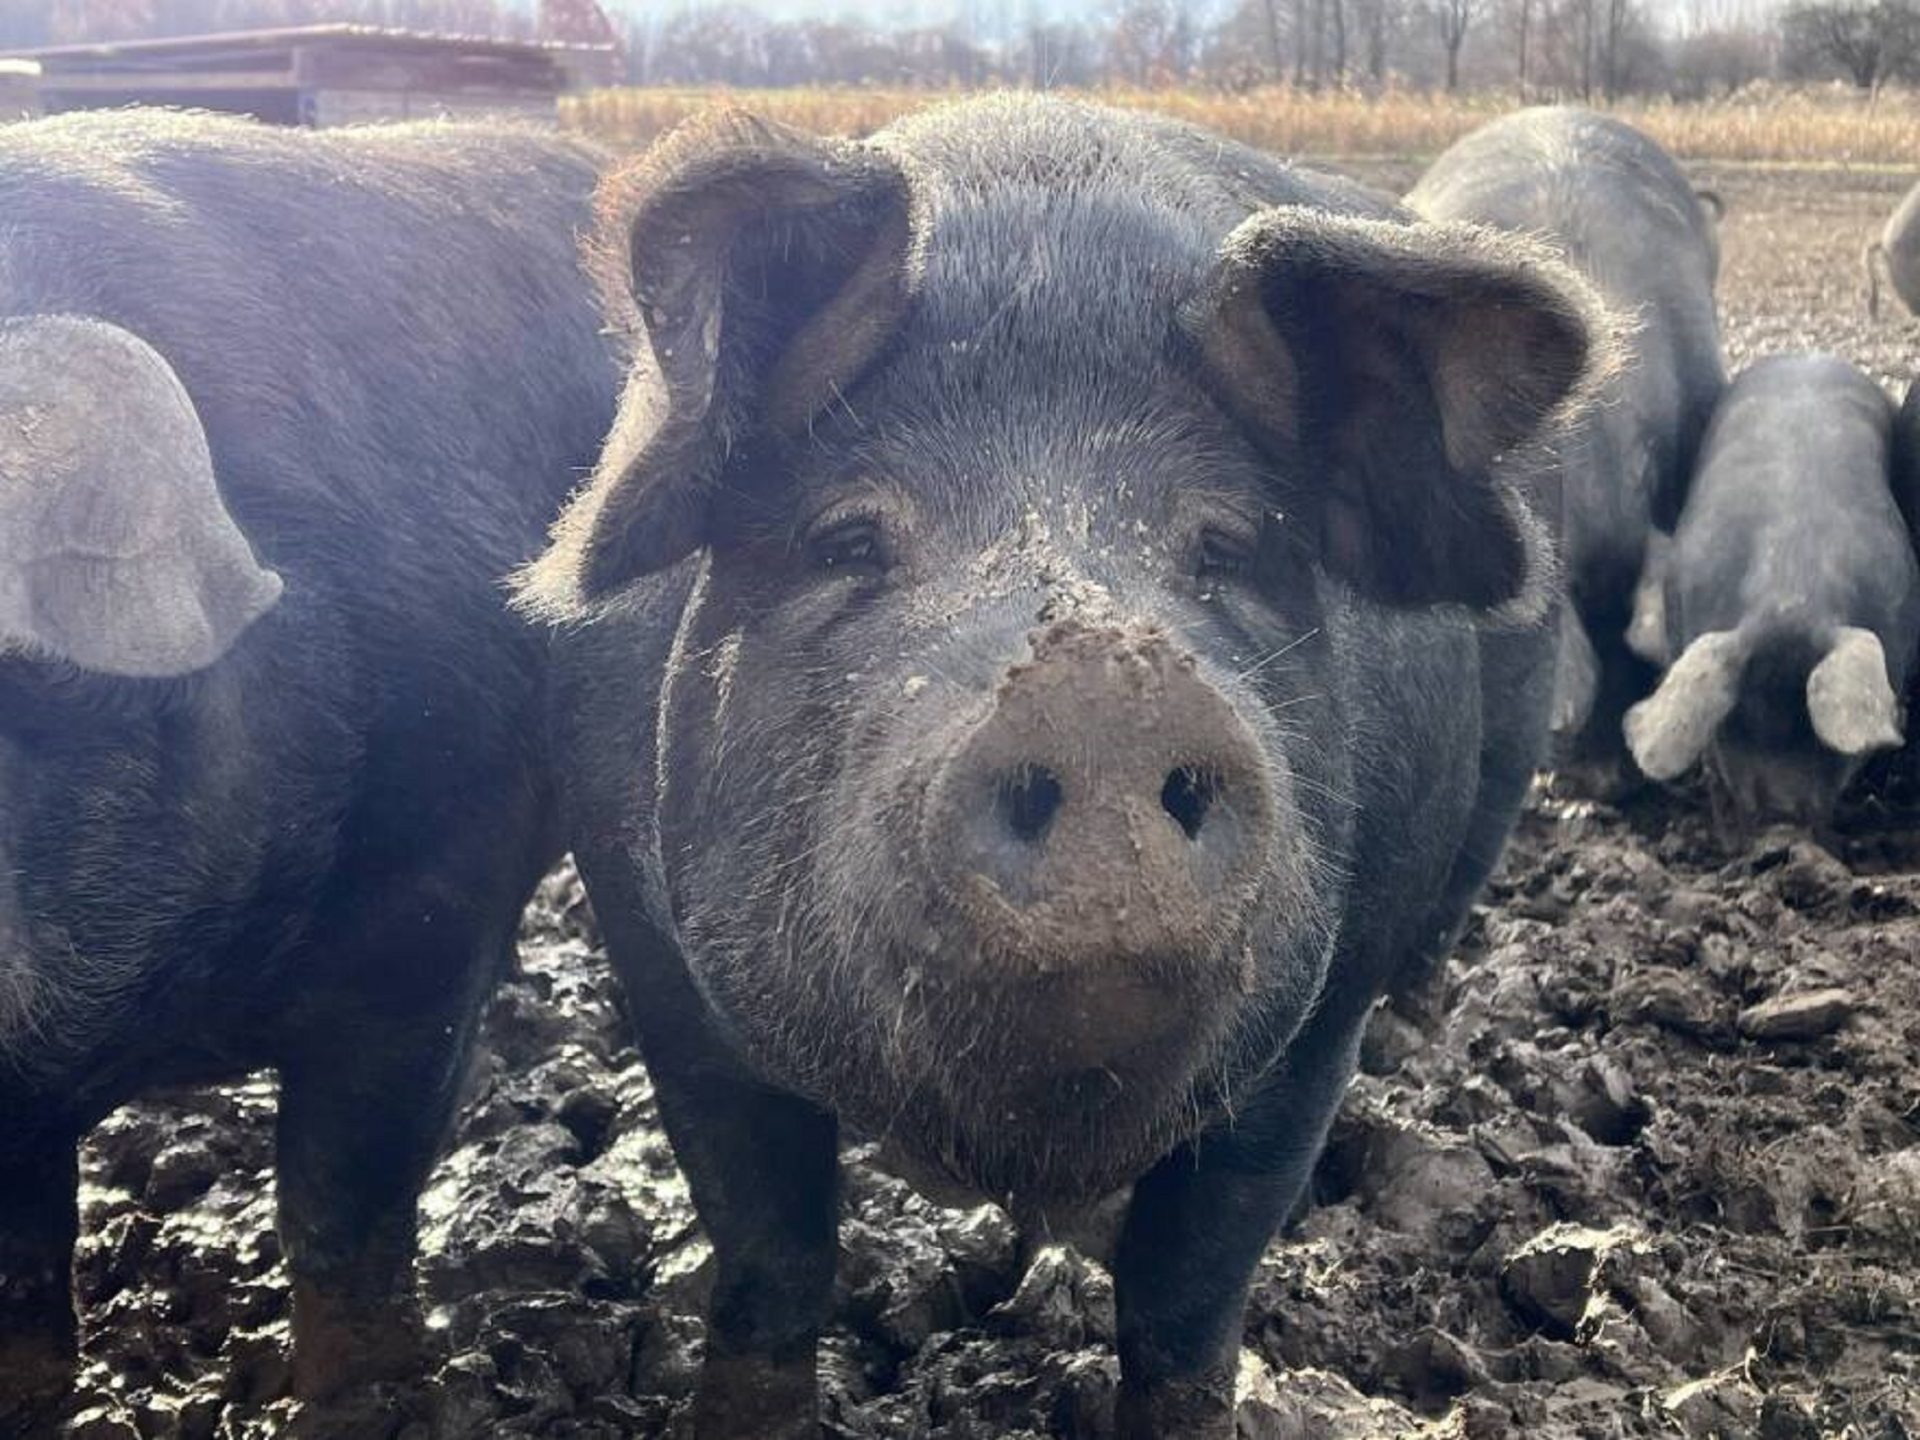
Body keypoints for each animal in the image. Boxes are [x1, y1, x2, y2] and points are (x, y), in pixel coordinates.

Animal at [518, 96, 1612, 1436]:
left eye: (1224, 548)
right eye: (848, 537)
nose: (1104, 681)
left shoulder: (1312, 1031)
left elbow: (1191, 1295)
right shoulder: (661, 976)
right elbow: (770, 1254)